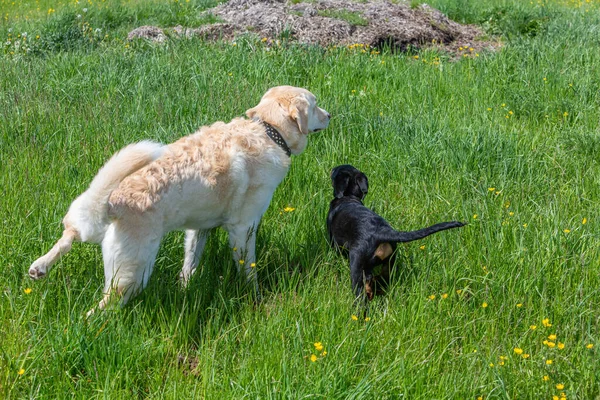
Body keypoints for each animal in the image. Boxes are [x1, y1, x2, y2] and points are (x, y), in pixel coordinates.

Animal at [28, 86, 330, 316]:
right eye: (315, 105)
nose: (330, 115)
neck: (268, 131)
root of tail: (113, 202)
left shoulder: (199, 228)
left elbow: (189, 265)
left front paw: (184, 290)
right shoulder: (244, 227)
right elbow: (248, 269)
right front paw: (254, 296)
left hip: (88, 221)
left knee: (70, 233)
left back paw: (40, 266)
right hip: (132, 274)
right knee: (100, 308)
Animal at [328, 164, 464, 302]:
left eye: (335, 171)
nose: (331, 169)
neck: (349, 198)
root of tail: (381, 232)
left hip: (357, 264)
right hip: (388, 264)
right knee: (377, 281)